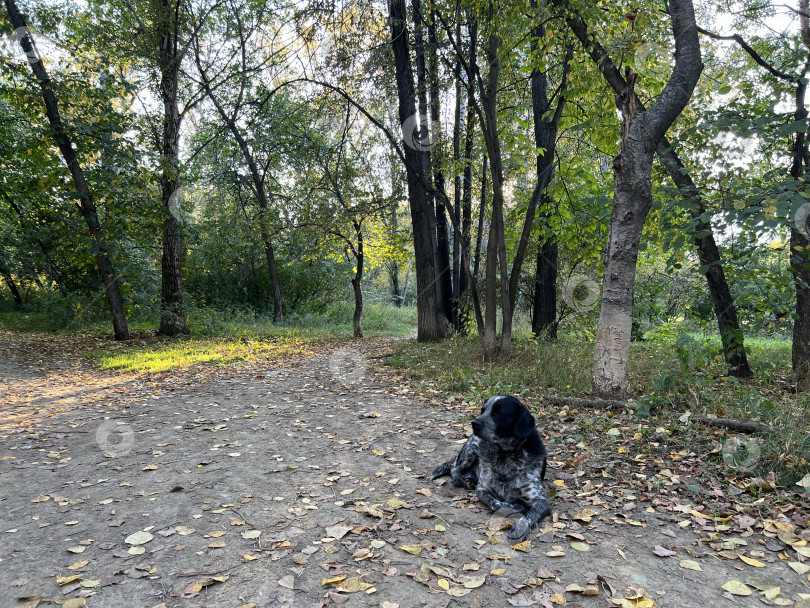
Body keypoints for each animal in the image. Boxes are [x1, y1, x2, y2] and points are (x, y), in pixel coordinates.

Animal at [430, 394, 548, 540]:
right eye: (482, 410)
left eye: (499, 411)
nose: (474, 423)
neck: (505, 455)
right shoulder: (482, 490)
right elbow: (496, 503)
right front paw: (517, 507)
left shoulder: (541, 501)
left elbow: (529, 516)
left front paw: (519, 529)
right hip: (471, 450)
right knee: (454, 467)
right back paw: (460, 479)